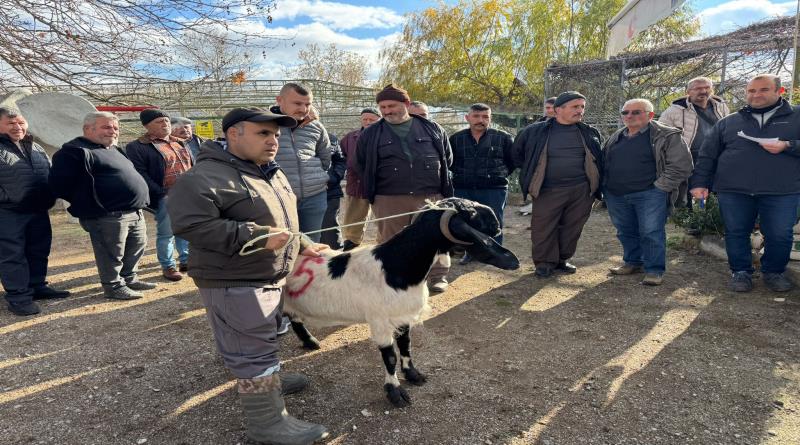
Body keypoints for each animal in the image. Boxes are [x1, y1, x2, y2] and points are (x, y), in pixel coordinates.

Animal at [282, 198, 520, 406]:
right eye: (471, 214)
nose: (497, 224)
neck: (394, 265)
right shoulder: (379, 321)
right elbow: (390, 357)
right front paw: (395, 392)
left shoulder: (403, 316)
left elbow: (406, 346)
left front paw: (413, 374)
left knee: (295, 320)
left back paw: (310, 342)